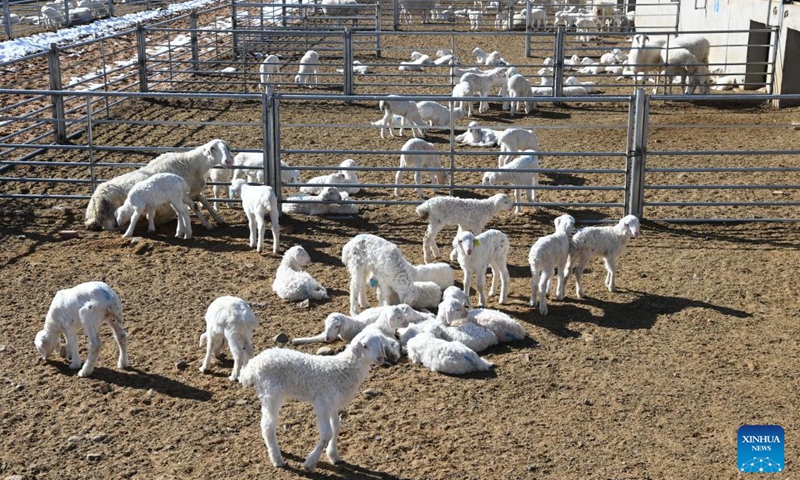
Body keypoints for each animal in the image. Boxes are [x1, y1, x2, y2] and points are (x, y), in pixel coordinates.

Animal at [239, 330, 385, 472]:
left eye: (379, 344)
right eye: (365, 346)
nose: (380, 358)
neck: (343, 368)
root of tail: (253, 365)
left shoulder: (333, 403)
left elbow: (336, 427)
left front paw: (334, 456)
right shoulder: (322, 403)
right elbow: (327, 433)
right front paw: (310, 463)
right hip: (271, 393)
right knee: (267, 425)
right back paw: (277, 459)